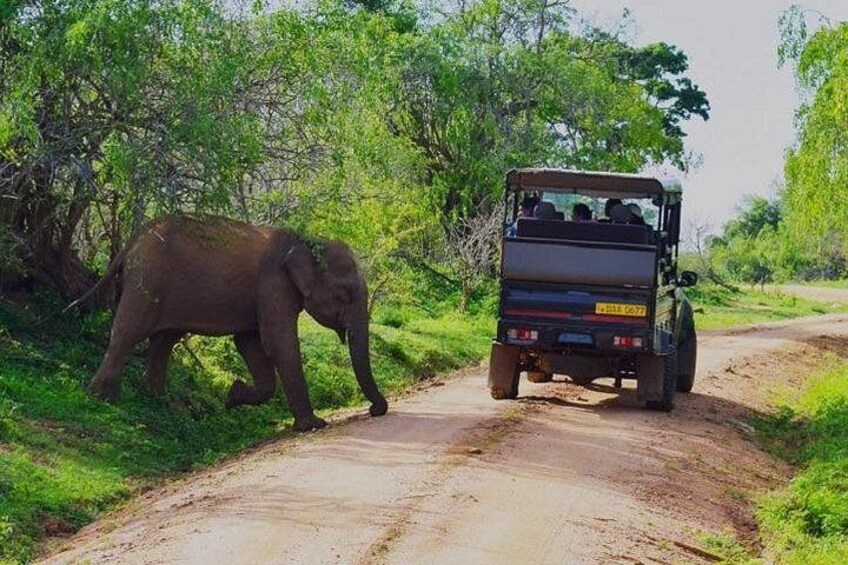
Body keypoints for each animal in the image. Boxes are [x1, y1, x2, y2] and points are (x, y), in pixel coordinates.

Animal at [65, 216, 388, 431]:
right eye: (345, 293)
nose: (375, 410)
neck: (307, 239)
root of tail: (134, 238)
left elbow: (249, 342)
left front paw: (231, 396)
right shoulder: (273, 283)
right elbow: (278, 341)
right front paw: (313, 425)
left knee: (164, 340)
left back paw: (155, 400)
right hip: (146, 279)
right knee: (128, 332)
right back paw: (101, 399)